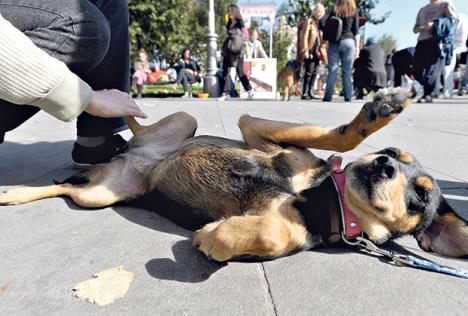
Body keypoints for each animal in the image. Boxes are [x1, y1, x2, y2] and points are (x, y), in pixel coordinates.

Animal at [1, 87, 466, 260]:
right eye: (390, 152)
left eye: (421, 197)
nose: (383, 165)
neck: (322, 197)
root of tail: (136, 160)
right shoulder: (258, 132)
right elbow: (339, 139)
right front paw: (380, 111)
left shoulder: (289, 233)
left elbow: (267, 232)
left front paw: (215, 236)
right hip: (184, 119)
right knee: (134, 127)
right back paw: (114, 102)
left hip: (101, 194)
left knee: (66, 188)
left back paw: (15, 193)